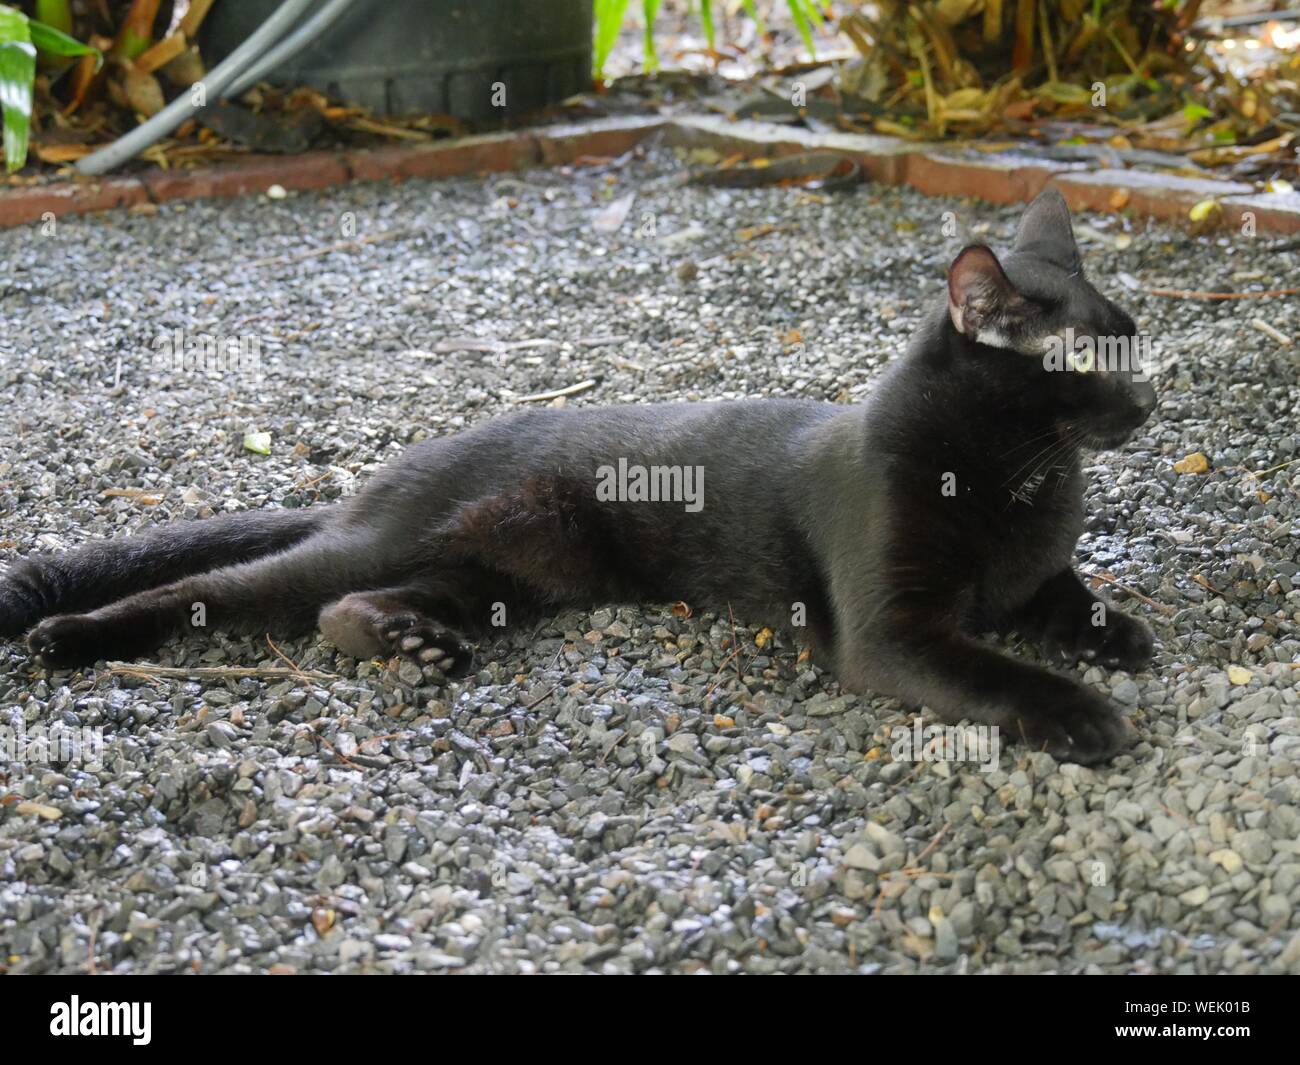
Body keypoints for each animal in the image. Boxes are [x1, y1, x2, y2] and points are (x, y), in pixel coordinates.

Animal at [2, 187, 1159, 764]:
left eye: (1134, 339)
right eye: (1080, 359)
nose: (1149, 402)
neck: (1016, 479)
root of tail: (390, 471)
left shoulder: (1036, 572)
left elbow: (1072, 597)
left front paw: (1118, 638)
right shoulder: (893, 633)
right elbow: (992, 671)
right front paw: (1079, 713)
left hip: (503, 577)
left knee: (342, 607)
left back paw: (412, 645)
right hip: (391, 546)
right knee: (224, 589)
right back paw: (69, 636)